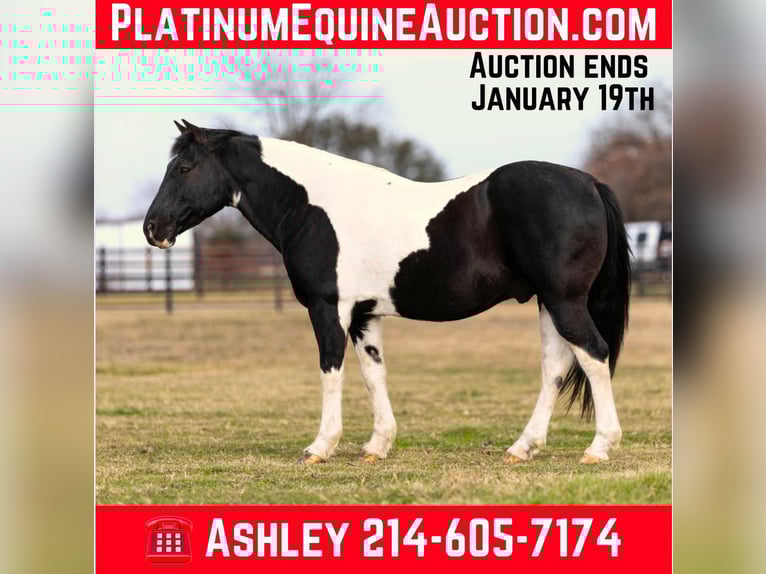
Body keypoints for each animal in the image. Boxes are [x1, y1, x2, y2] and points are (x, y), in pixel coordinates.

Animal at [144, 119, 631, 465]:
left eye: (184, 168)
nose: (153, 229)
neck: (311, 204)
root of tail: (589, 183)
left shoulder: (328, 308)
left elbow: (331, 371)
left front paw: (320, 447)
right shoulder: (364, 315)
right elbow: (372, 373)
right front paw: (377, 445)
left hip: (565, 301)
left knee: (593, 355)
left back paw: (599, 447)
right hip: (550, 302)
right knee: (556, 366)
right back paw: (522, 447)